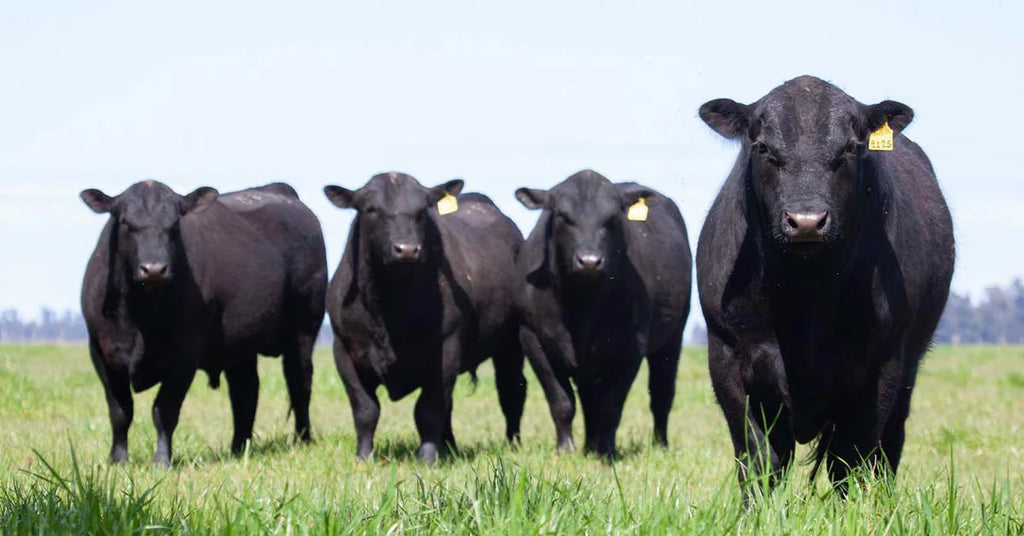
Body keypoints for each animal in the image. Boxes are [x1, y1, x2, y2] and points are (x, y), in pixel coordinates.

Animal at [80, 181, 327, 466]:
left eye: (174, 225)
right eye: (125, 223)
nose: (154, 269)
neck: (139, 314)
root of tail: (280, 190)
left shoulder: (185, 354)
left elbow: (164, 410)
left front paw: (161, 460)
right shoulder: (100, 351)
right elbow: (120, 411)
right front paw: (118, 460)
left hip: (304, 328)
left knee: (299, 382)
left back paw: (302, 439)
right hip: (240, 344)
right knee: (245, 392)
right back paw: (238, 447)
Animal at [323, 172, 526, 464]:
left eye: (422, 211)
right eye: (371, 209)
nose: (406, 249)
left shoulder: (445, 351)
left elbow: (428, 410)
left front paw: (427, 459)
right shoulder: (344, 350)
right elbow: (365, 409)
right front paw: (363, 456)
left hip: (511, 342)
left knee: (511, 390)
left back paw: (512, 443)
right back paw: (449, 446)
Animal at [515, 169, 692, 458]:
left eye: (612, 218)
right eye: (563, 215)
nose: (589, 261)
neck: (581, 306)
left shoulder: (631, 346)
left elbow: (610, 406)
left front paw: (607, 451)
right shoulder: (532, 338)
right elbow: (562, 401)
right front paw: (566, 449)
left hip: (673, 337)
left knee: (661, 394)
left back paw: (659, 445)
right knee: (588, 400)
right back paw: (589, 445)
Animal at [696, 75, 955, 492]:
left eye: (850, 148)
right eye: (763, 147)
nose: (806, 221)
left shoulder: (881, 362)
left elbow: (850, 459)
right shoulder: (727, 355)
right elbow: (758, 457)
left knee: (889, 444)